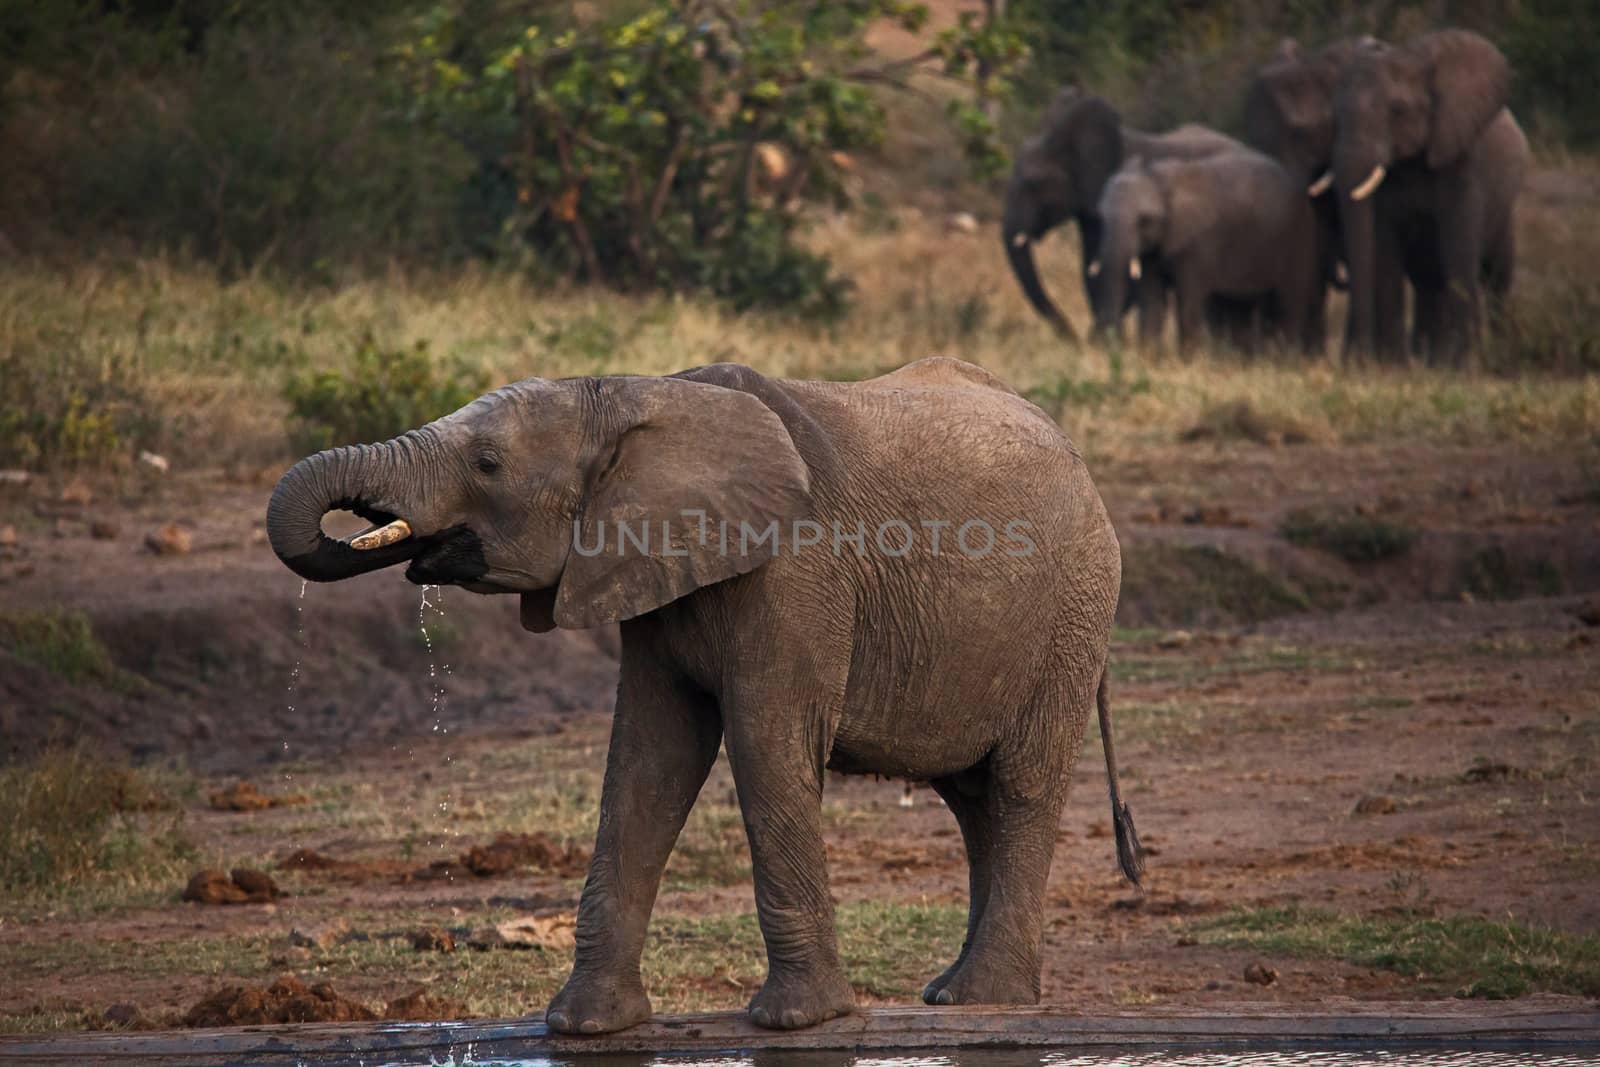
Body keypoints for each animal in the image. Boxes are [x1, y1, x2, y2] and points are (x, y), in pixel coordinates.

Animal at [265, 358, 1139, 1036]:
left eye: (486, 463)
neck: (634, 392)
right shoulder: (649, 573)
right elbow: (649, 759)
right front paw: (583, 1025)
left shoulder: (798, 570)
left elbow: (765, 745)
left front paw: (799, 1021)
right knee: (971, 798)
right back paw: (962, 994)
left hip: (1074, 612)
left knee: (1020, 784)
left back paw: (982, 996)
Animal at [1088, 147, 1324, 355]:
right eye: (1100, 217)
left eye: (1144, 220)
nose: (1109, 344)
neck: (1160, 178)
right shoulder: (1154, 248)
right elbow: (1152, 301)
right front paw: (1150, 358)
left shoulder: (1198, 244)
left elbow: (1188, 302)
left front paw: (1187, 361)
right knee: (1241, 310)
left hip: (1299, 236)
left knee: (1289, 303)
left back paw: (1284, 360)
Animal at [1324, 29, 1523, 363]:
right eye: (1336, 114)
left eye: (1397, 110)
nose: (1360, 358)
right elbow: (1384, 248)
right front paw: (1393, 366)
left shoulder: (1463, 159)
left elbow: (1460, 247)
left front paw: (1464, 365)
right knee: (1429, 285)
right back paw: (1430, 357)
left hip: (1505, 212)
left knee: (1497, 276)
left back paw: (1498, 353)